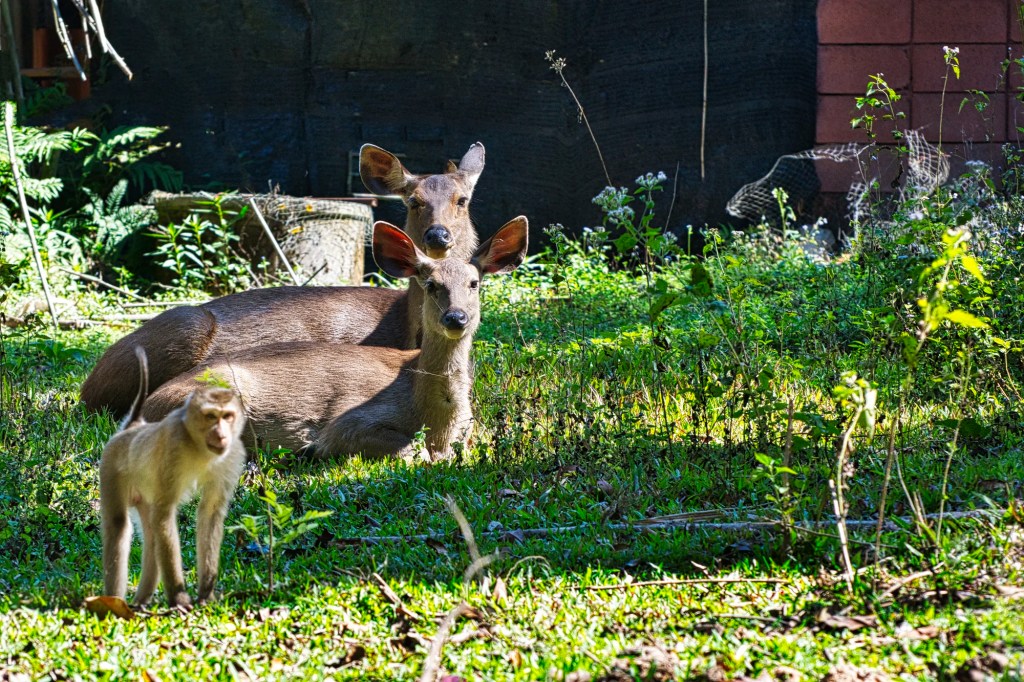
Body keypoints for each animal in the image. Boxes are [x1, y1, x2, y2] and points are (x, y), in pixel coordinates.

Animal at [99, 347, 247, 608]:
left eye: (227, 416)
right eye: (211, 416)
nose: (221, 435)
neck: (199, 447)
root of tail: (132, 428)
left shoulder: (232, 455)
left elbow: (209, 513)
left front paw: (206, 593)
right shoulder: (174, 448)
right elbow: (165, 513)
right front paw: (179, 597)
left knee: (151, 535)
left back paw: (141, 600)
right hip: (111, 468)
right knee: (119, 526)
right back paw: (115, 603)